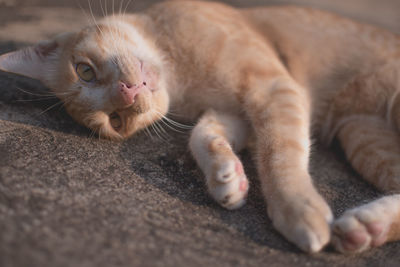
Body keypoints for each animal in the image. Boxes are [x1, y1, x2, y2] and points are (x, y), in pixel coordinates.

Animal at [0, 0, 400, 255]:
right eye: (116, 121)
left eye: (84, 71)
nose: (127, 96)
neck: (182, 76)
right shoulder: (236, 113)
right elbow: (202, 135)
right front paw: (227, 177)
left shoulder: (274, 89)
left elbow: (279, 156)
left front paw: (297, 211)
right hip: (364, 140)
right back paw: (366, 229)